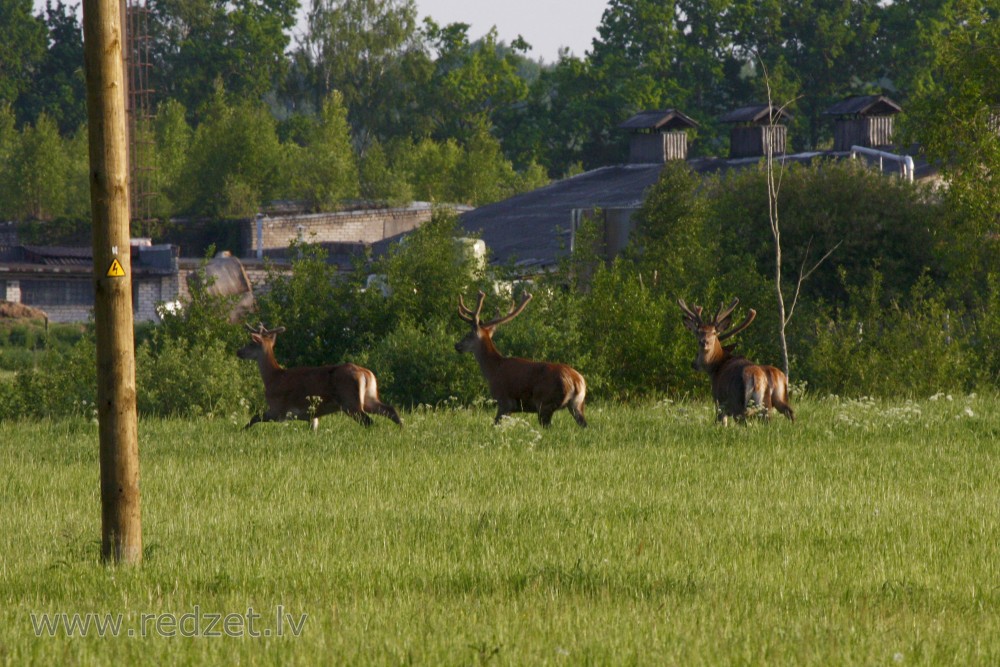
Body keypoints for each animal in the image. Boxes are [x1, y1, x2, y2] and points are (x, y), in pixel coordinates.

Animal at [238, 322, 402, 428]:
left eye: (251, 343)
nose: (238, 351)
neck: (273, 377)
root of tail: (366, 374)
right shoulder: (311, 415)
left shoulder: (278, 409)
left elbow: (254, 418)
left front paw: (242, 431)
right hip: (369, 397)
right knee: (390, 410)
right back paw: (401, 429)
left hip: (350, 401)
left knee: (369, 422)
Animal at [458, 290, 588, 428]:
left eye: (468, 335)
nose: (457, 345)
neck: (493, 369)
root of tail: (576, 380)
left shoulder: (504, 401)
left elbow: (495, 424)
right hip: (577, 404)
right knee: (584, 425)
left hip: (545, 402)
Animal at [676, 298, 792, 426]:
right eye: (698, 331)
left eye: (714, 332)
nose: (703, 342)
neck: (717, 366)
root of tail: (756, 377)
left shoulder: (719, 401)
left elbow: (721, 422)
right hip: (772, 401)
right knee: (786, 413)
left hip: (738, 402)